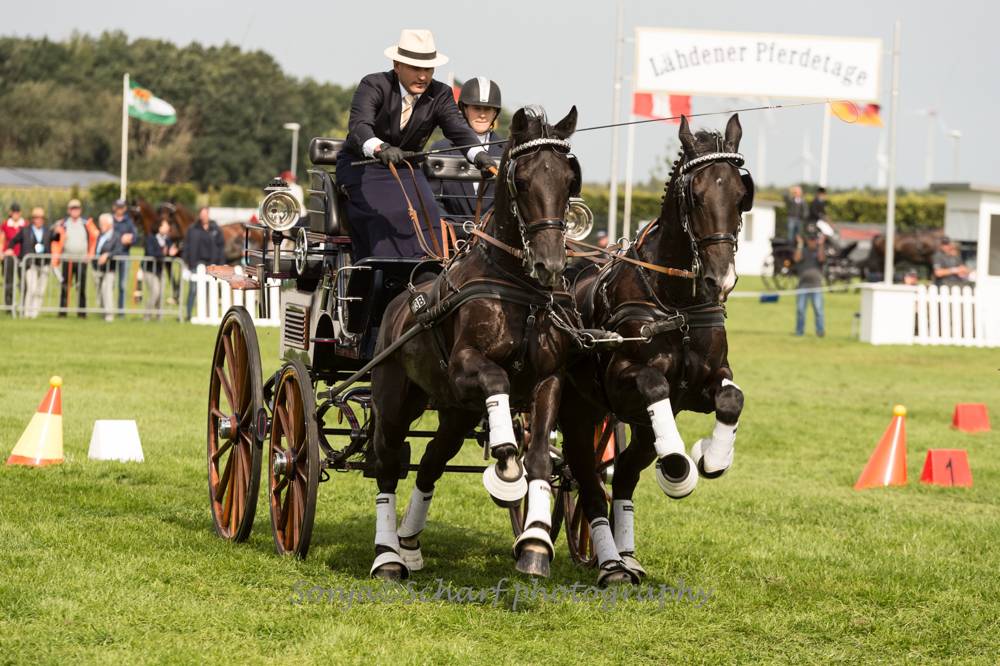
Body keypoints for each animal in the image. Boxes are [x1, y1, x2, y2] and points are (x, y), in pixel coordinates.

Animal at [370, 106, 584, 580]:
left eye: (569, 179)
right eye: (522, 180)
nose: (550, 264)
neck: (517, 290)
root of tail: (397, 301)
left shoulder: (550, 380)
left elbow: (540, 458)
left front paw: (535, 543)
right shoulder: (465, 366)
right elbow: (498, 382)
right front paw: (505, 463)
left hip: (455, 411)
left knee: (431, 461)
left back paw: (409, 543)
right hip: (394, 400)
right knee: (388, 464)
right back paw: (388, 555)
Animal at [560, 116, 748, 584]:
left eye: (741, 194)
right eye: (695, 195)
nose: (723, 279)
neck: (674, 301)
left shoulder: (703, 384)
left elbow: (731, 399)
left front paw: (711, 457)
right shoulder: (623, 379)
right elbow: (652, 382)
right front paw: (679, 464)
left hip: (638, 428)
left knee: (623, 474)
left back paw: (628, 557)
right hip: (578, 412)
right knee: (586, 479)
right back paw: (610, 563)